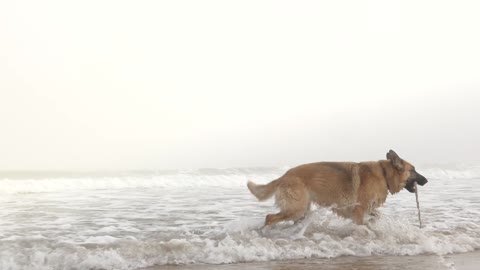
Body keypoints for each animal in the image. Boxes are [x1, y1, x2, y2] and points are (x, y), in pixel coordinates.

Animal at [248, 150, 428, 226]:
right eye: (413, 170)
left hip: (301, 210)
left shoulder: (367, 210)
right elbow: (362, 224)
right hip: (296, 209)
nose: (426, 180)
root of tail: (284, 176)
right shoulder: (358, 211)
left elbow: (375, 217)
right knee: (269, 218)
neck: (384, 174)